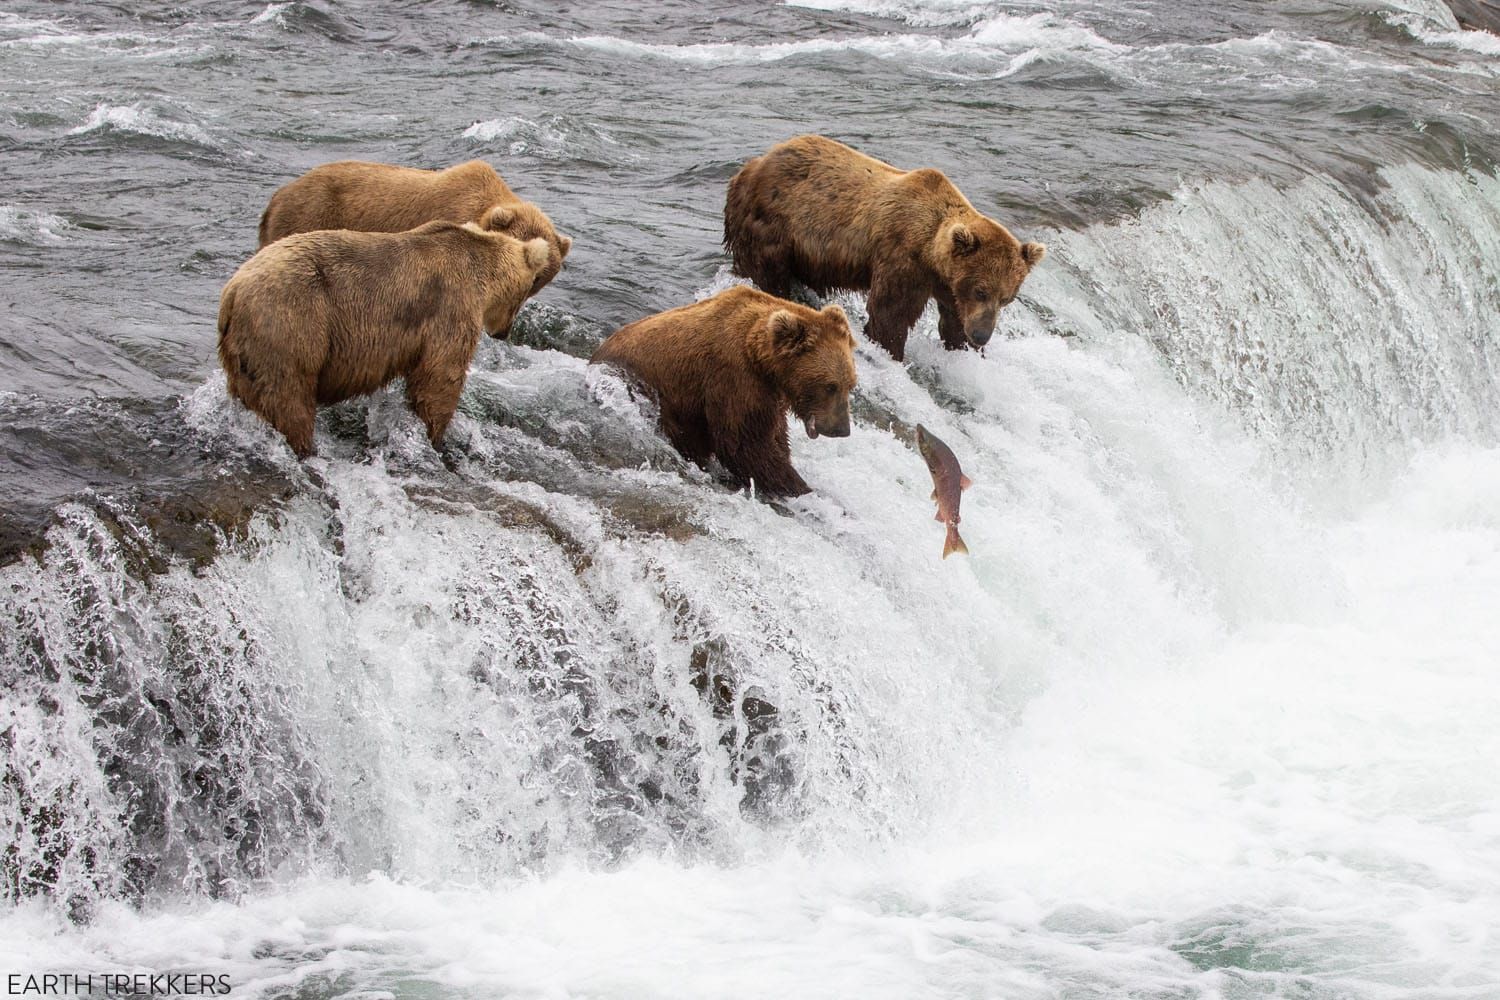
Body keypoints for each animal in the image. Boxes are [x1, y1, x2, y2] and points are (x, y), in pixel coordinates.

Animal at [217, 221, 552, 458]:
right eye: (527, 291)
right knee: (290, 398)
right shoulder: (449, 307)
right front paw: (436, 435)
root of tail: (232, 292)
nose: (503, 332)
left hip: (244, 351)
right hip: (291, 324)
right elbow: (439, 377)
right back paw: (306, 447)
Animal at [591, 284, 864, 497]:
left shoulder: (767, 394)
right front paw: (797, 485)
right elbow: (743, 443)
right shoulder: (733, 379)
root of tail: (596, 354)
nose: (842, 429)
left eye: (850, 384)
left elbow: (774, 435)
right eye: (830, 385)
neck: (760, 358)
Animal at [723, 134, 1044, 364]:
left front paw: (963, 346)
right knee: (766, 269)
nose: (982, 335)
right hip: (773, 222)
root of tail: (752, 165)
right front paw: (892, 350)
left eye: (1007, 298)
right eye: (981, 291)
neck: (931, 252)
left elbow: (952, 321)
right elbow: (890, 313)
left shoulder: (947, 286)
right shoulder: (903, 258)